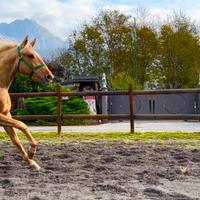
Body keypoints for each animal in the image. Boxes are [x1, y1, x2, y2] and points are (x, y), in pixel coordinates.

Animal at [0, 36, 54, 170]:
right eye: (30, 55)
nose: (50, 77)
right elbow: (22, 125)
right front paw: (31, 151)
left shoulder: (6, 114)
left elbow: (15, 139)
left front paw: (31, 162)